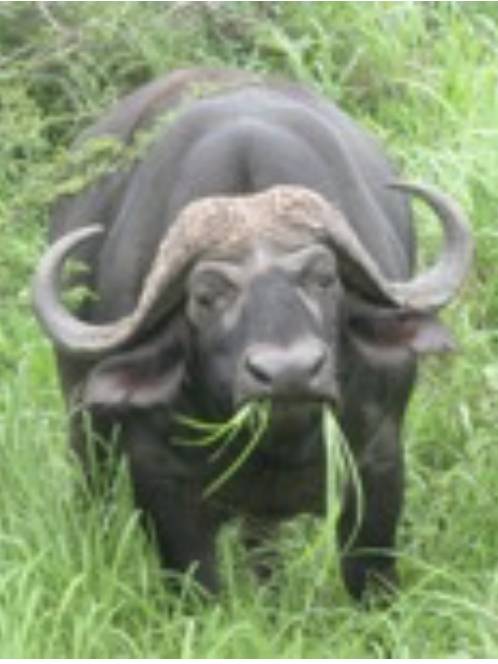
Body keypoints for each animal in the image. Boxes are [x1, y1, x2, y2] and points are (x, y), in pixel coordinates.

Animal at [33, 70, 472, 600]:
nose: (289, 373)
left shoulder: (379, 464)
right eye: (205, 296)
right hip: (82, 416)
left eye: (325, 277)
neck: (278, 445)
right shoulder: (160, 484)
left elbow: (369, 575)